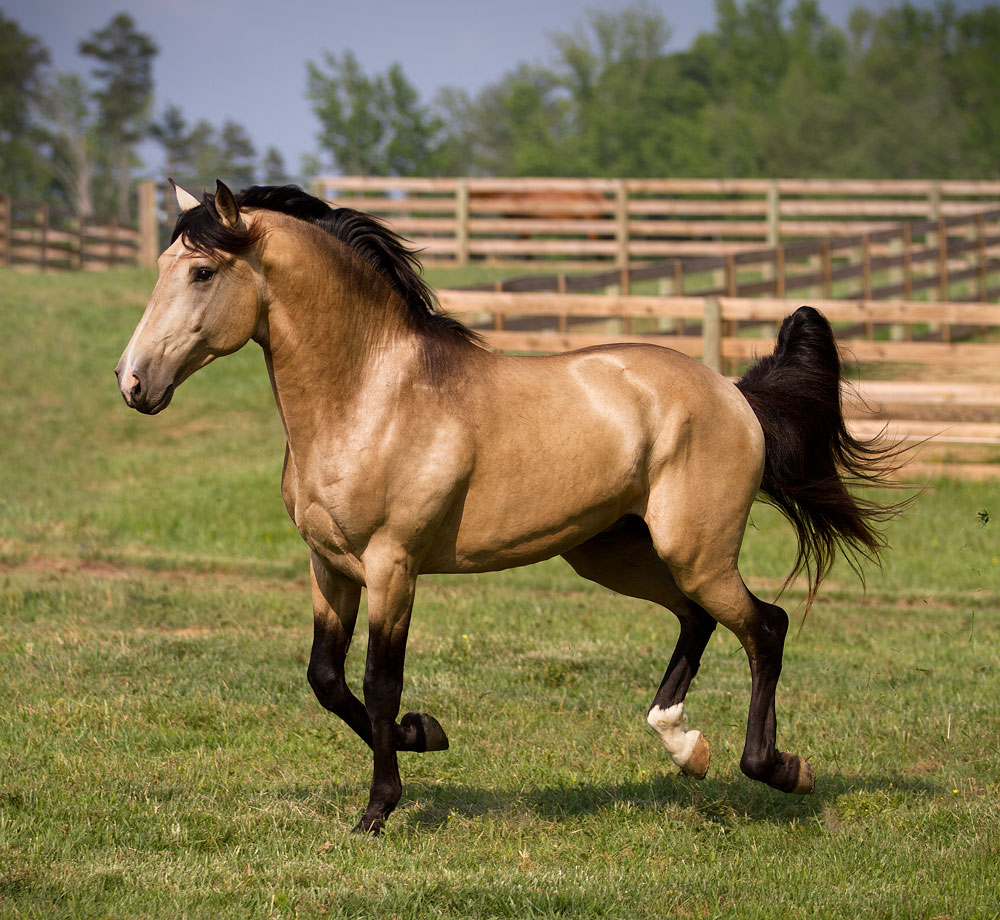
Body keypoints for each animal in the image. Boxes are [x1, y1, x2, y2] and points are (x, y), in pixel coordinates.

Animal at [117, 180, 908, 832]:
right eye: (161, 266)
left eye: (202, 272)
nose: (132, 383)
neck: (374, 395)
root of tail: (734, 395)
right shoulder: (330, 566)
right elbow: (326, 679)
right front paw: (426, 733)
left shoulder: (393, 567)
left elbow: (377, 683)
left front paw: (379, 808)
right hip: (612, 552)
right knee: (698, 619)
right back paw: (687, 747)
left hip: (695, 550)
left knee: (764, 626)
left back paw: (779, 769)